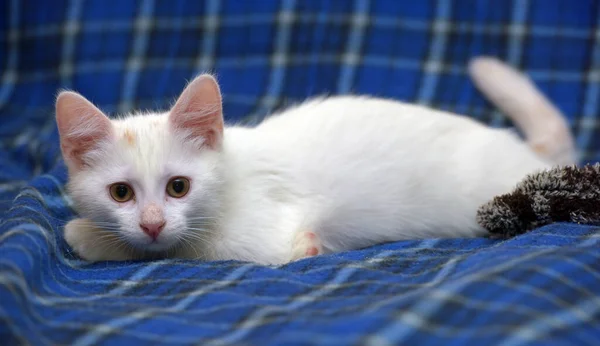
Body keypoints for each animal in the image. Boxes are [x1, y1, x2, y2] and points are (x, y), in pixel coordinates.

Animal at [57, 56, 576, 264]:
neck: (233, 176)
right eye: (120, 193)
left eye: (178, 186)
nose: (151, 223)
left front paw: (88, 237)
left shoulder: (266, 238)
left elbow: (187, 249)